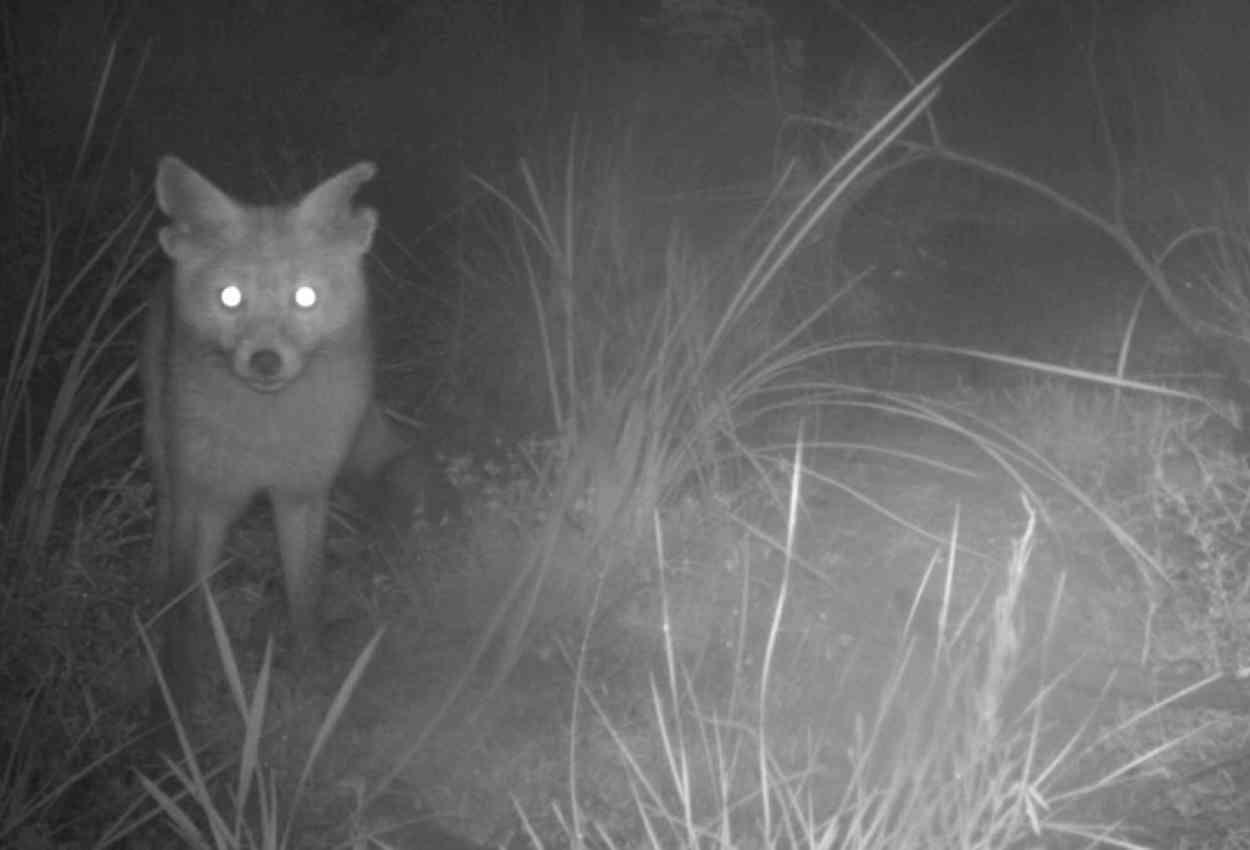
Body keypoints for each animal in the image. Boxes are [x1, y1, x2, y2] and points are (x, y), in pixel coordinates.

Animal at [141, 157, 432, 725]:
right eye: (230, 297)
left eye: (305, 297)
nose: (265, 361)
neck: (265, 445)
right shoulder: (202, 498)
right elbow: (187, 611)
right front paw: (174, 707)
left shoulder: (303, 493)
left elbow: (306, 597)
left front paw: (313, 679)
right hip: (163, 454)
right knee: (163, 530)